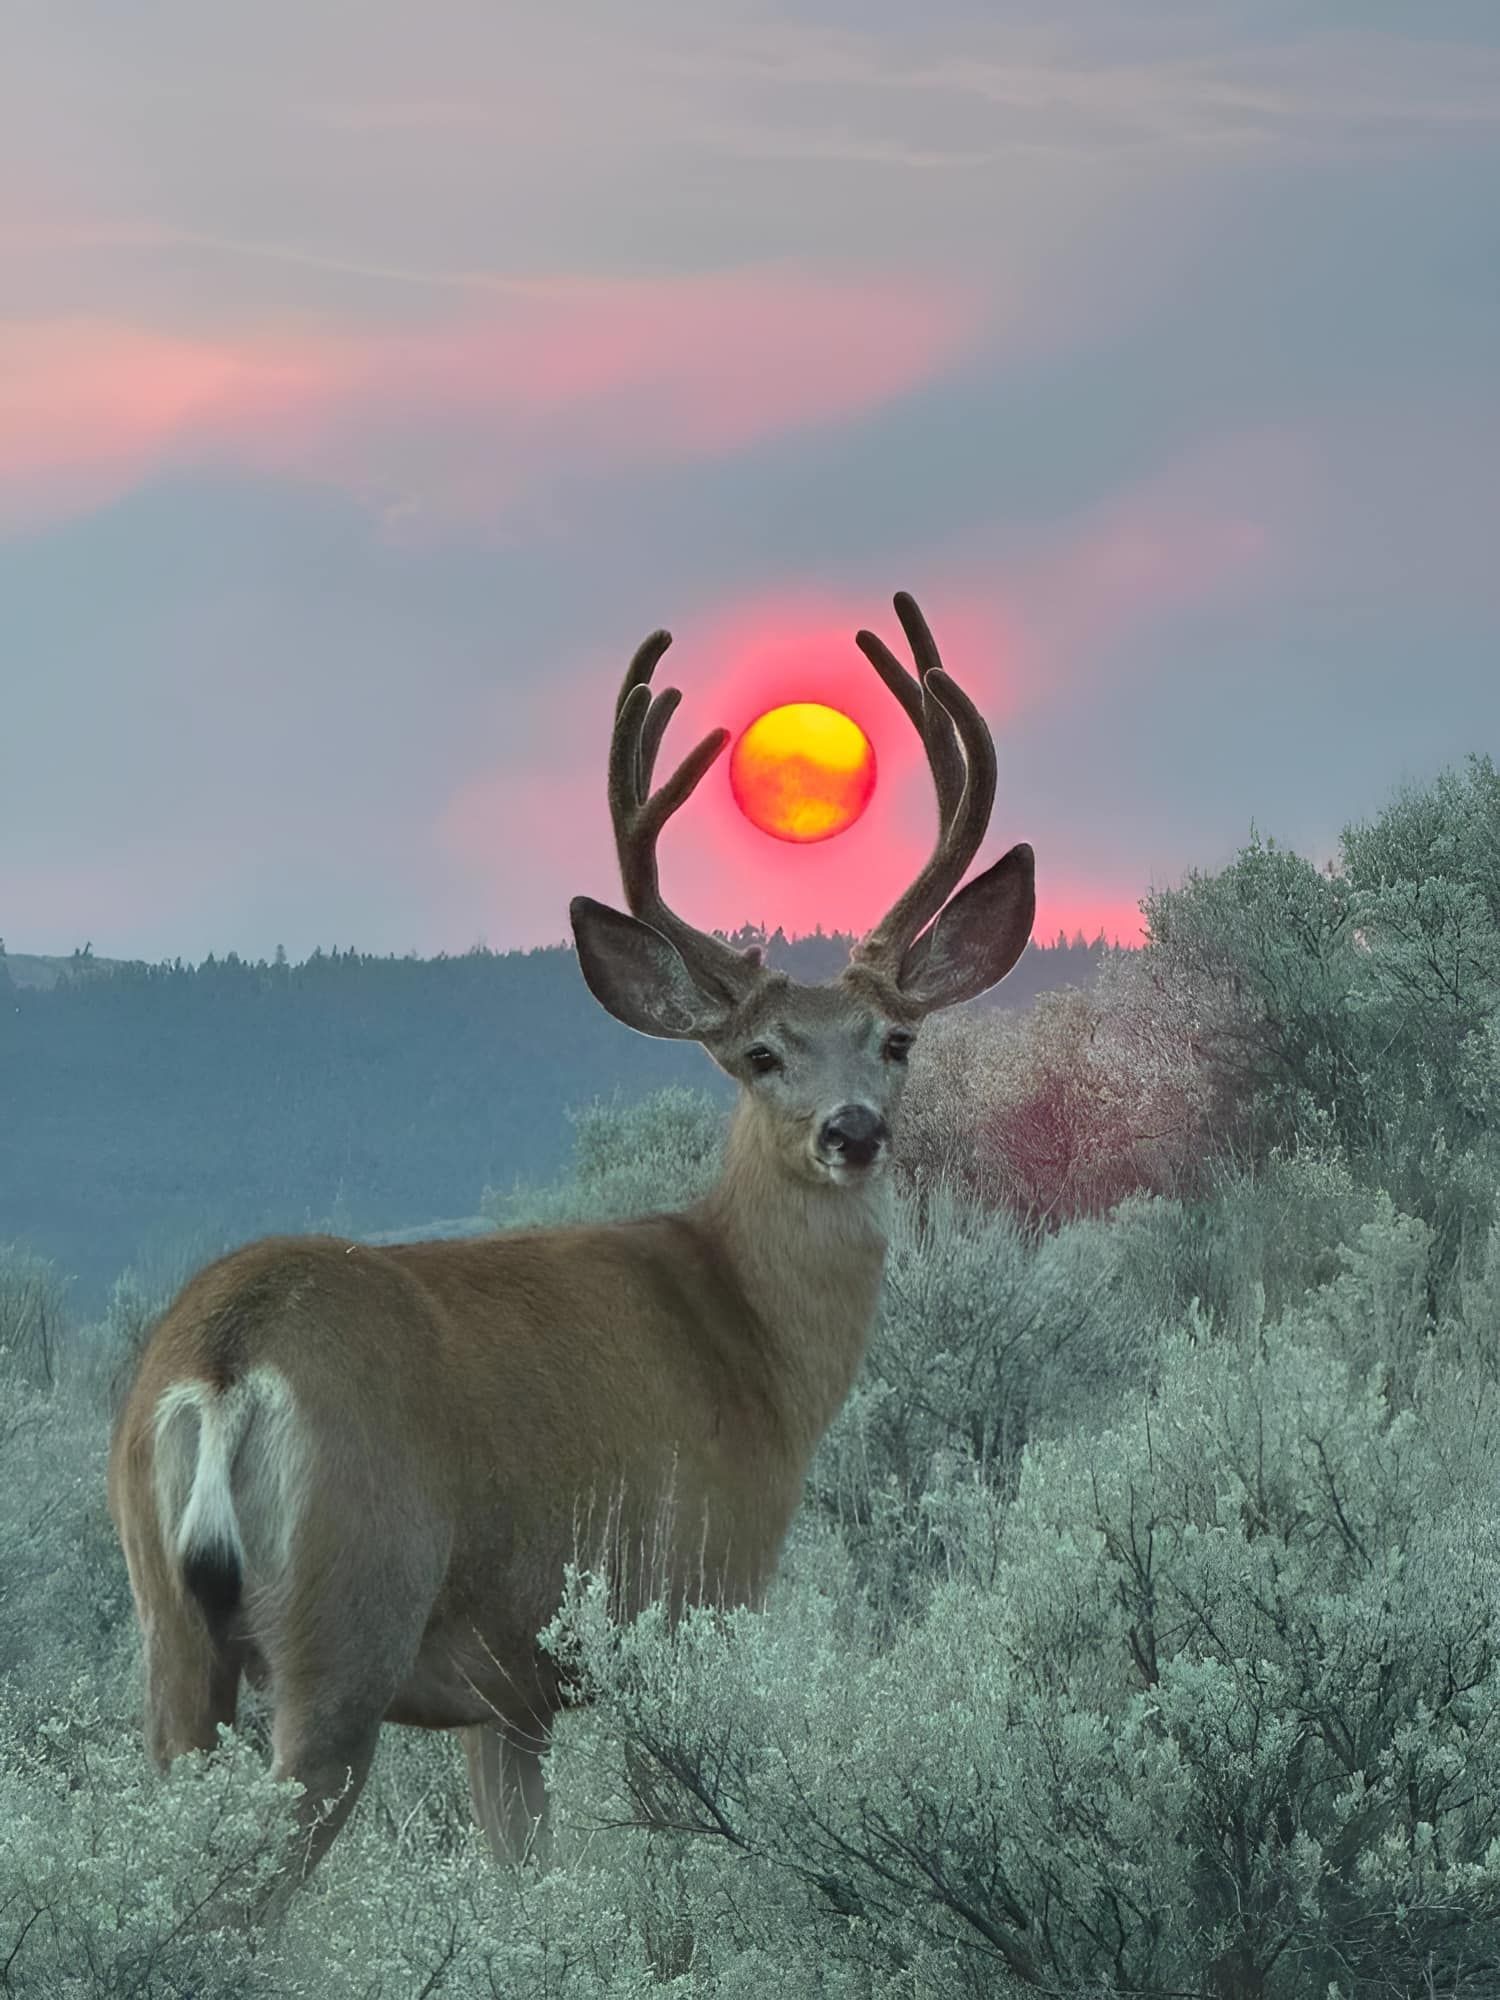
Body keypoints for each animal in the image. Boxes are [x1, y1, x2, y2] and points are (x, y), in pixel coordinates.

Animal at [106, 591, 1035, 1919]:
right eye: (761, 1055)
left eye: (895, 1037)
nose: (852, 1130)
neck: (749, 1342)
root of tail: (225, 1358)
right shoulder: (686, 1597)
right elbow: (673, 1890)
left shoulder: (510, 1695)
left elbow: (523, 1875)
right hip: (347, 1614)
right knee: (251, 1885)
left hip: (171, 1632)